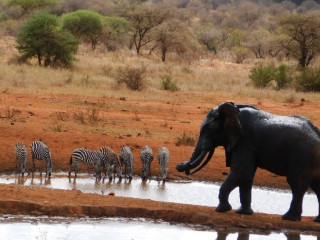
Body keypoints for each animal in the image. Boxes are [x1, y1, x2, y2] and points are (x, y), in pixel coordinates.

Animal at [176, 102, 320, 222]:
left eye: (208, 129)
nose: (180, 165)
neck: (233, 110)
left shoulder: (244, 141)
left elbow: (242, 171)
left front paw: (222, 210)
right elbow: (246, 175)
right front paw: (243, 213)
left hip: (303, 156)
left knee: (296, 183)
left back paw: (289, 218)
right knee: (316, 186)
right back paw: (316, 220)